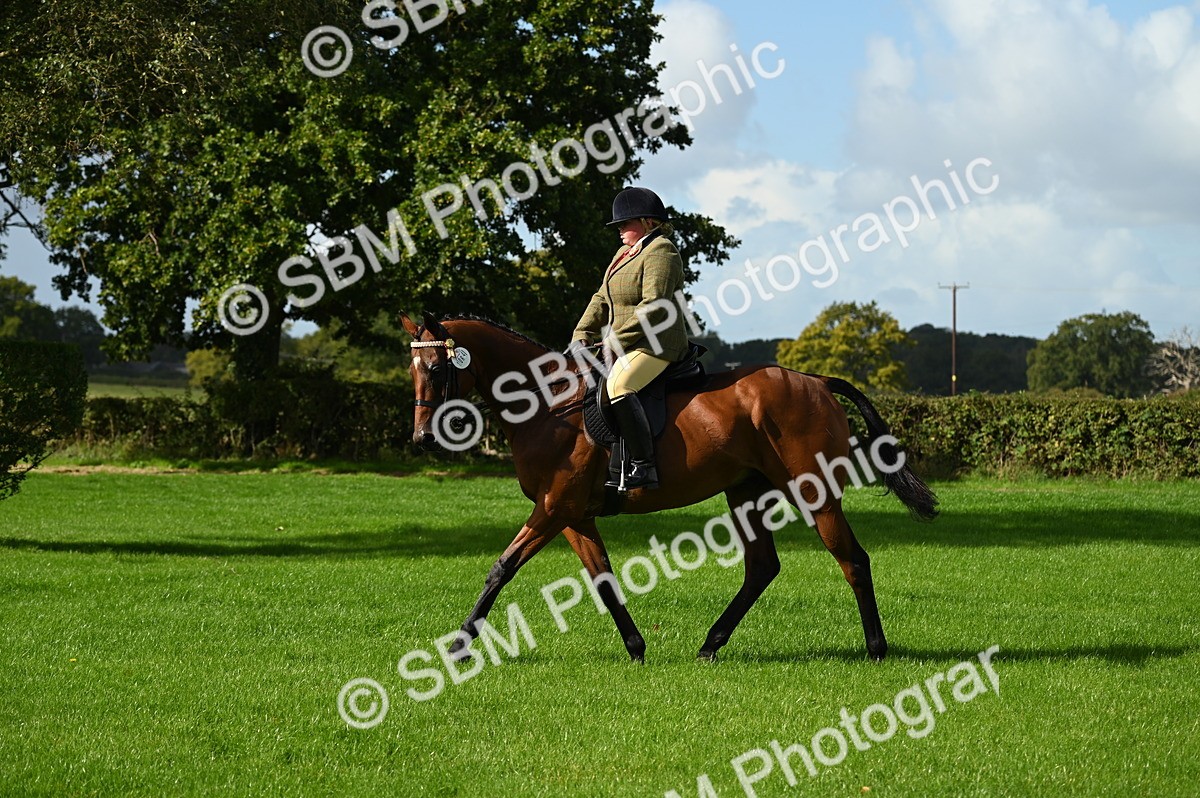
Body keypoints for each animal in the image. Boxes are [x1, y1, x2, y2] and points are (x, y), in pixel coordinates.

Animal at [400, 312, 938, 663]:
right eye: (412, 369)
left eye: (437, 368)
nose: (422, 438)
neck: (547, 404)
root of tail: (817, 381)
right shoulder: (573, 515)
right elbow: (602, 579)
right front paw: (637, 650)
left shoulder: (553, 509)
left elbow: (501, 568)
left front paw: (457, 648)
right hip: (745, 492)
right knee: (762, 567)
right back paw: (710, 645)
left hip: (814, 493)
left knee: (853, 560)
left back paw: (876, 649)